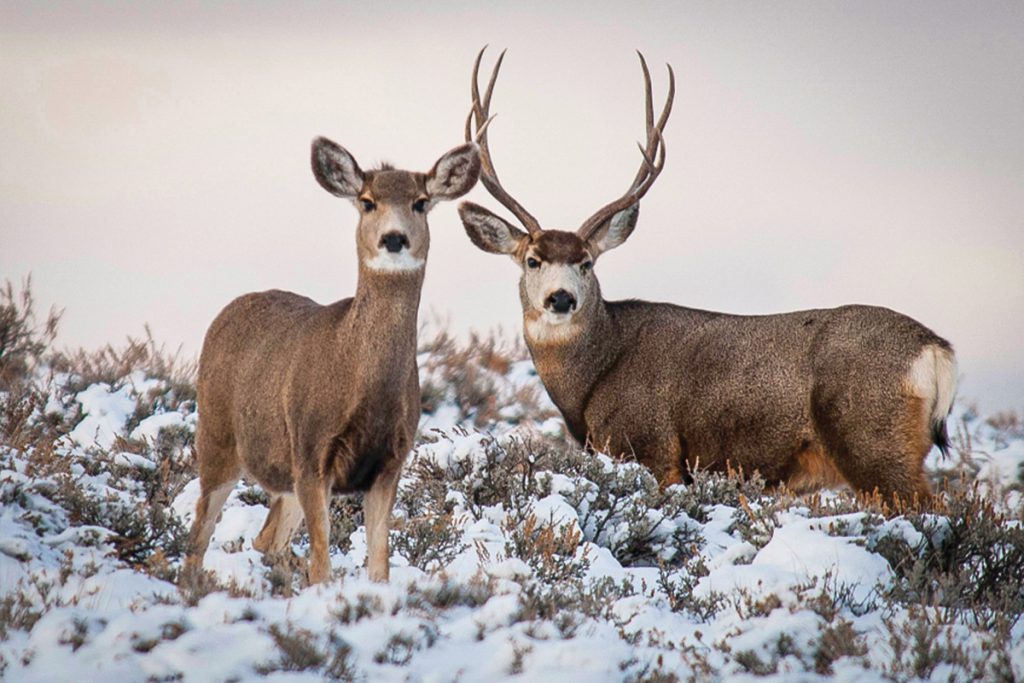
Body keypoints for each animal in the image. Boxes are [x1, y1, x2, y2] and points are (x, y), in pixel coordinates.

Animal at [184, 137, 480, 583]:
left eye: (421, 202)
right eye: (367, 201)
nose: (394, 238)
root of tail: (227, 311)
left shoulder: (390, 462)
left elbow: (379, 563)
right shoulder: (311, 450)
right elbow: (321, 563)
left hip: (280, 476)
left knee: (266, 539)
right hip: (217, 437)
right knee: (199, 535)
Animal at [458, 48, 957, 505]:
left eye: (587, 262)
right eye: (532, 260)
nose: (561, 298)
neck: (593, 376)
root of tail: (936, 348)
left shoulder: (652, 446)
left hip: (872, 438)